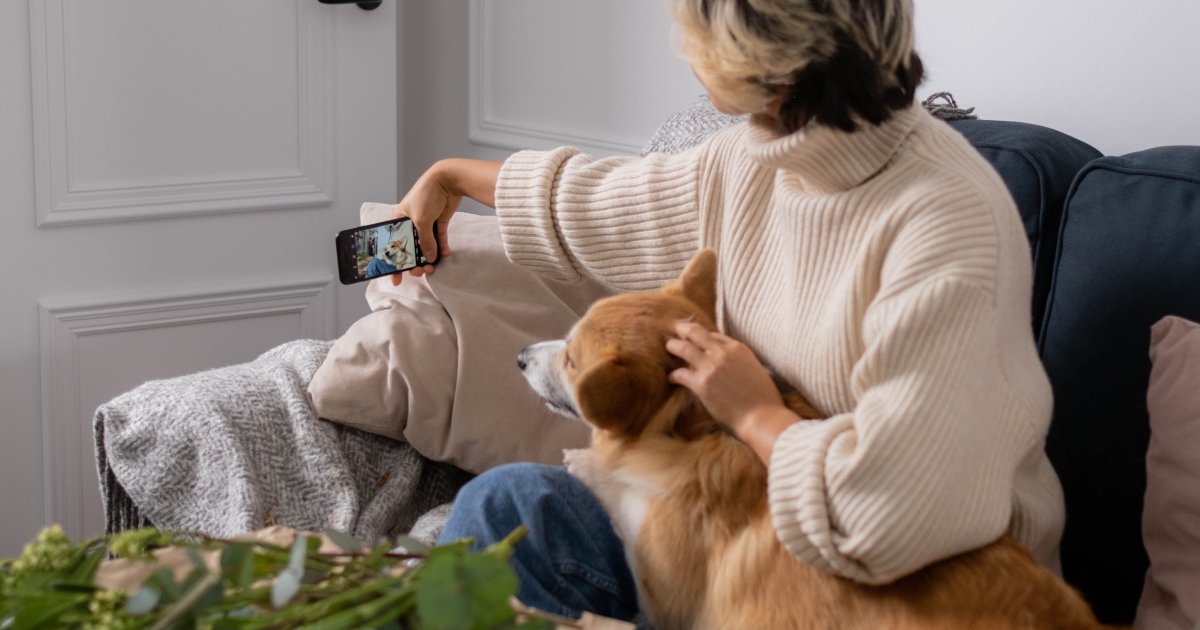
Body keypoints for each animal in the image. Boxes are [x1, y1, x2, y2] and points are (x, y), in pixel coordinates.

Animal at [511, 248, 1108, 628]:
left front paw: (587, 464)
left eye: (571, 360)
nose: (518, 357)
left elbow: (614, 502)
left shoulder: (664, 599)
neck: (692, 431)